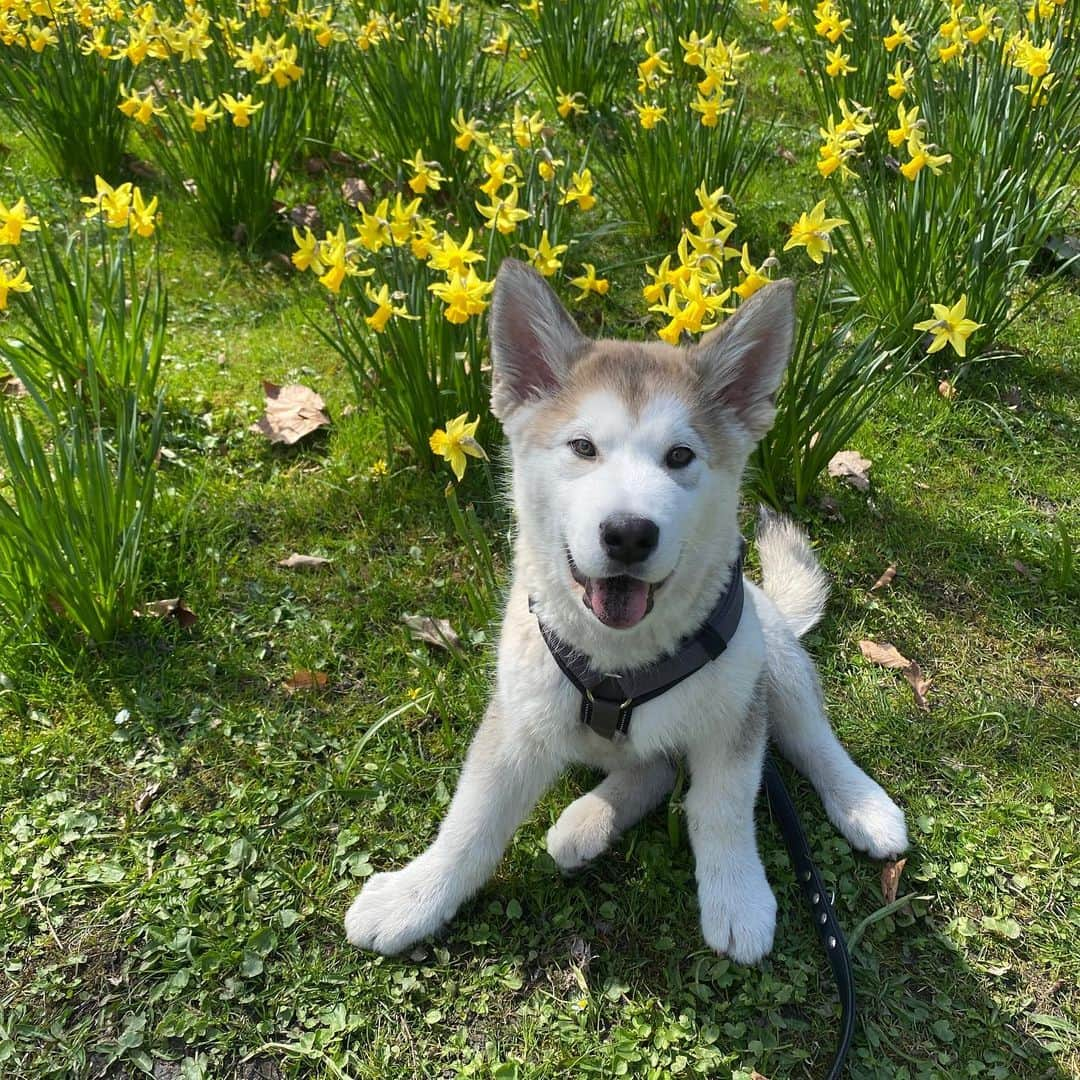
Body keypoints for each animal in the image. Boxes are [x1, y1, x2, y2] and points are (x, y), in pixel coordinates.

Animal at [343, 259, 902, 963]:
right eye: (583, 447)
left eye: (680, 455)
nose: (629, 535)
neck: (618, 662)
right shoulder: (518, 722)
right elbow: (472, 821)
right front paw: (416, 896)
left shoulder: (732, 718)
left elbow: (721, 807)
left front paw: (737, 894)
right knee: (655, 767)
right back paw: (586, 823)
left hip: (768, 658)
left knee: (807, 738)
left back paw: (862, 804)